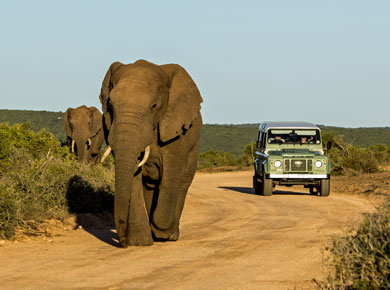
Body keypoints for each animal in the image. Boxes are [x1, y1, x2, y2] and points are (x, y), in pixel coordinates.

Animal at [99, 59, 203, 247]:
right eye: (110, 105)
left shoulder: (177, 133)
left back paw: (170, 235)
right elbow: (134, 177)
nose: (123, 242)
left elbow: (172, 174)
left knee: (183, 182)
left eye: (153, 106)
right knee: (149, 185)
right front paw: (140, 242)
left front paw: (162, 233)